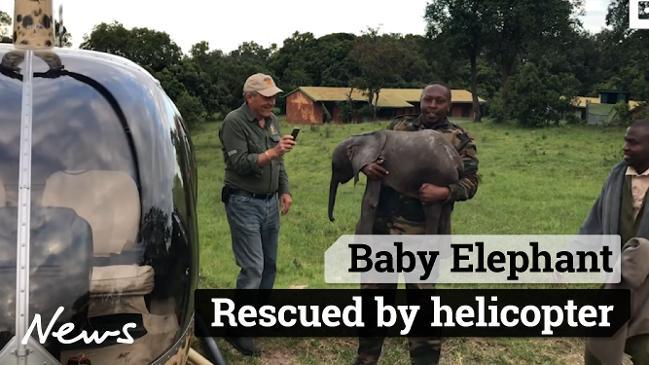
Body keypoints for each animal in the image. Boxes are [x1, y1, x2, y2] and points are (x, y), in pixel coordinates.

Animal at [330, 130, 460, 233]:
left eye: (335, 167)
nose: (333, 219)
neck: (363, 137)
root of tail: (456, 161)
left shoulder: (378, 165)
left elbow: (370, 202)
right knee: (445, 214)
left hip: (436, 179)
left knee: (432, 213)